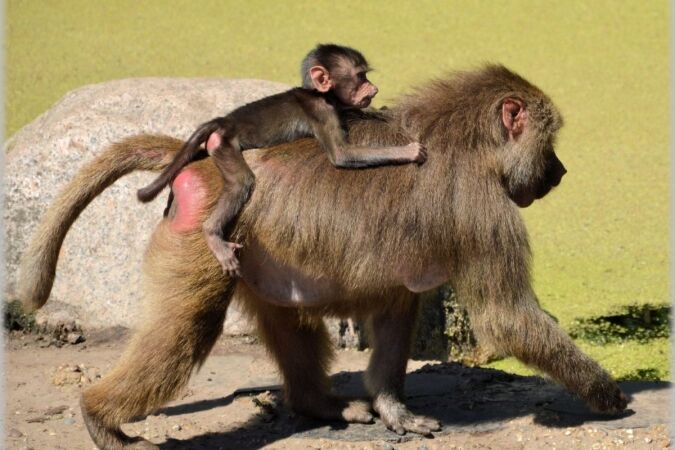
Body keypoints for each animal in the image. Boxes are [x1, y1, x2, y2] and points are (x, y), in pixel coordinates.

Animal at [137, 44, 427, 276]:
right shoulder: (322, 111)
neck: (320, 94)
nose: (374, 88)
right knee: (242, 182)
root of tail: (223, 121)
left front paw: (382, 111)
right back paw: (212, 233)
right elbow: (341, 154)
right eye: (360, 76)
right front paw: (409, 151)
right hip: (224, 145)